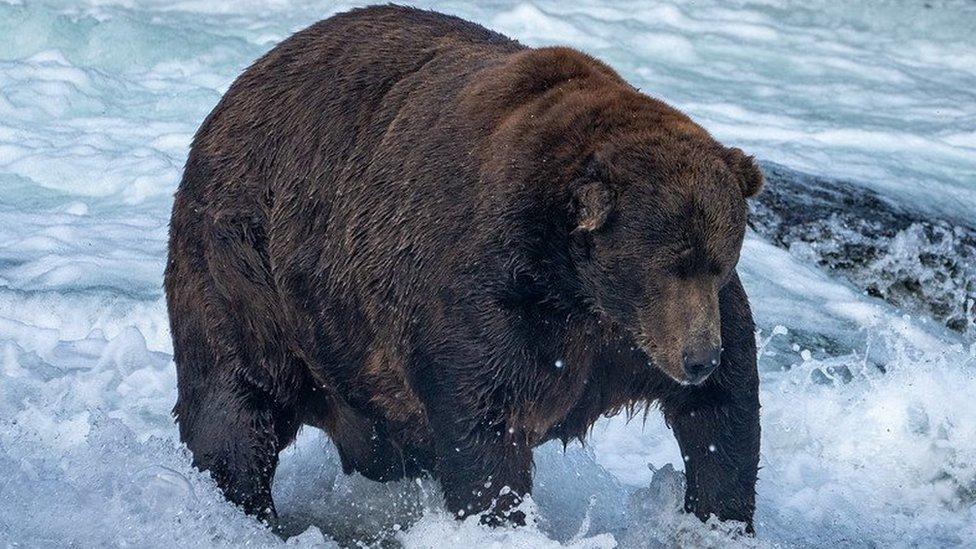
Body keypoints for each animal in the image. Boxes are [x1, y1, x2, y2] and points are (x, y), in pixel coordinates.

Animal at [166, 4, 764, 532]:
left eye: (718, 261)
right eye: (666, 266)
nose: (698, 358)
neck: (575, 286)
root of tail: (239, 86)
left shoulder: (633, 337)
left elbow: (724, 411)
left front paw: (718, 517)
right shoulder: (489, 294)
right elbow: (484, 422)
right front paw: (500, 516)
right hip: (247, 265)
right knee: (238, 398)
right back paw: (246, 505)